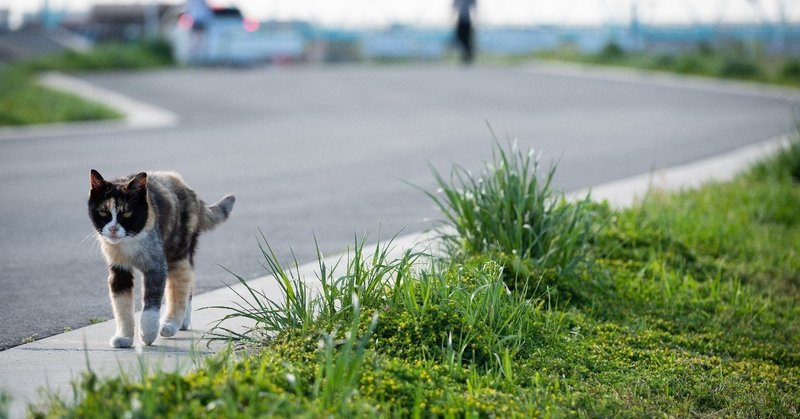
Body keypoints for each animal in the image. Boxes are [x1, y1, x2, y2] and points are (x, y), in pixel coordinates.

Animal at [90, 170, 236, 348]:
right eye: (103, 212)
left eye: (126, 213)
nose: (113, 228)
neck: (129, 242)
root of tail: (189, 190)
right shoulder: (119, 270)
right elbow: (121, 305)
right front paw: (124, 337)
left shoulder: (156, 267)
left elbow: (151, 305)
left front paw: (147, 334)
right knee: (187, 284)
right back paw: (182, 322)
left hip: (178, 253)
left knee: (181, 286)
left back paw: (171, 325)